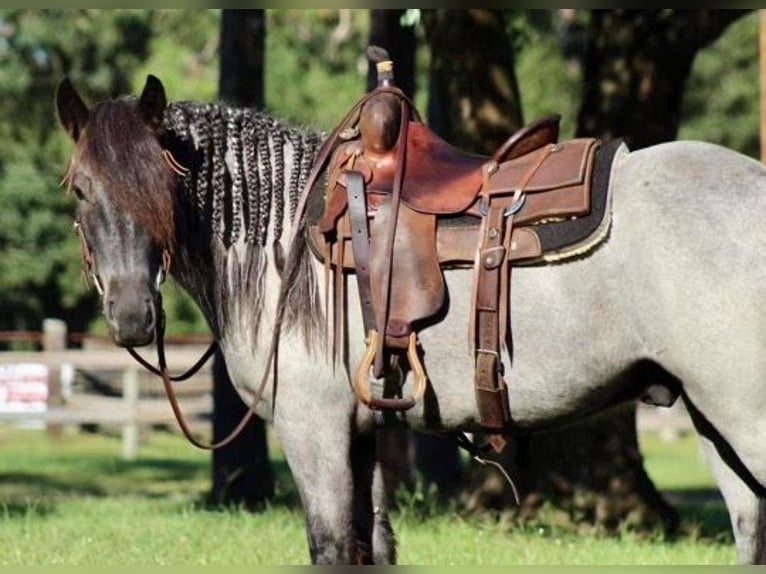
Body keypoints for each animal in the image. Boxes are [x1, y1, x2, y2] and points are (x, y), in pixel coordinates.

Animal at [55, 73, 766, 568]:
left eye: (159, 188)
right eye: (82, 191)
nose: (131, 316)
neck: (285, 239)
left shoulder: (313, 430)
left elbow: (332, 548)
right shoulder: (361, 433)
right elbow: (373, 547)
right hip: (714, 427)